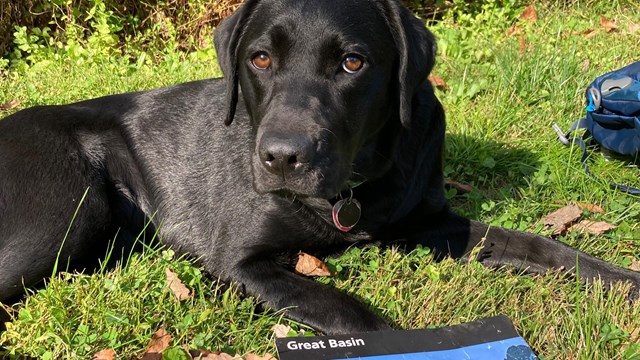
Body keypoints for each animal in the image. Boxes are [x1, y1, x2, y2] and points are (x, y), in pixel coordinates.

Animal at [1, 0, 640, 334]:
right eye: (260, 58)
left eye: (353, 63)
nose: (283, 157)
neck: (352, 187)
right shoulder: (239, 260)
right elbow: (358, 318)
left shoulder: (429, 222)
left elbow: (543, 247)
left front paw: (622, 280)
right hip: (67, 212)